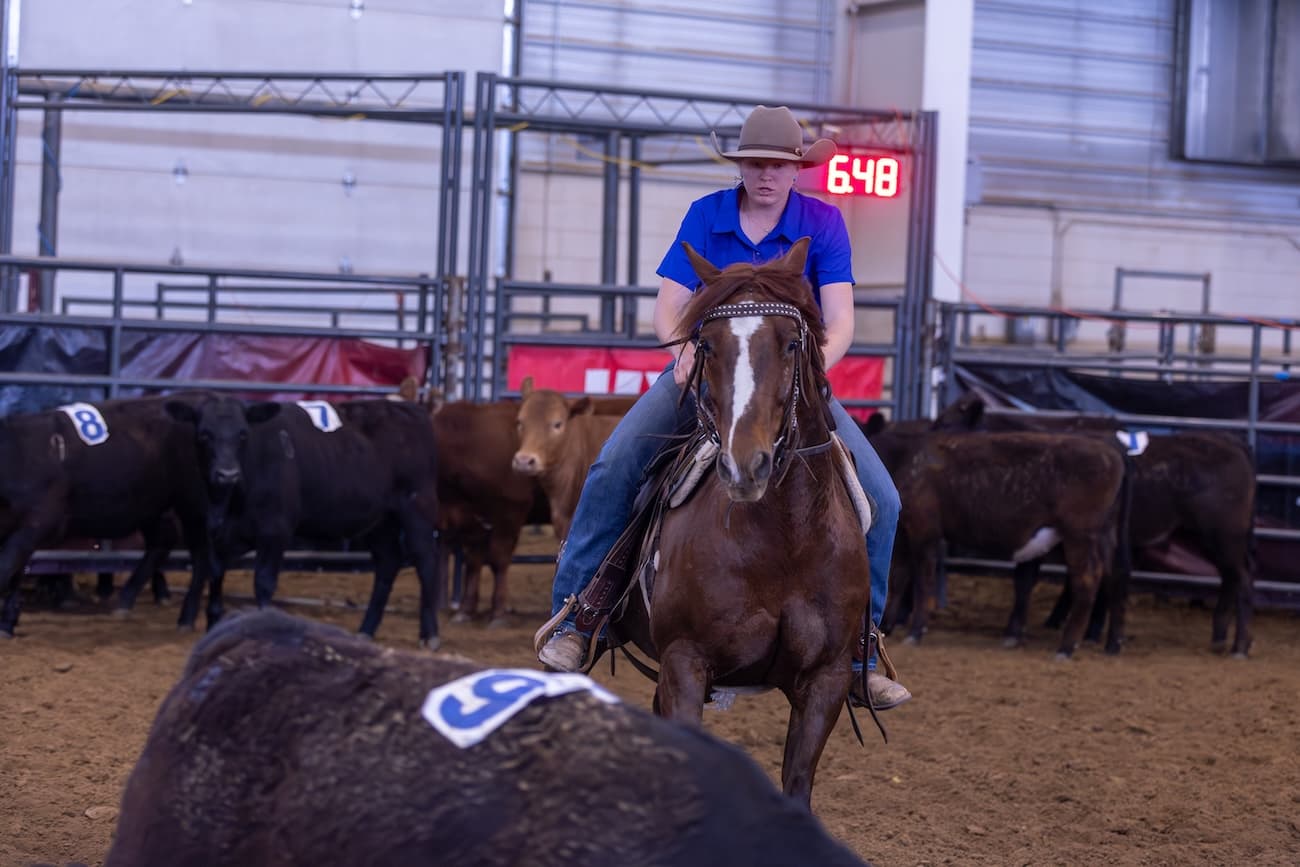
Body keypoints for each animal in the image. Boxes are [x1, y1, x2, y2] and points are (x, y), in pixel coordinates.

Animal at [605, 238, 870, 808]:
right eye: (706, 346)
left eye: (792, 343)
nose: (745, 465)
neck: (784, 541)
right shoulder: (685, 663)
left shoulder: (827, 678)